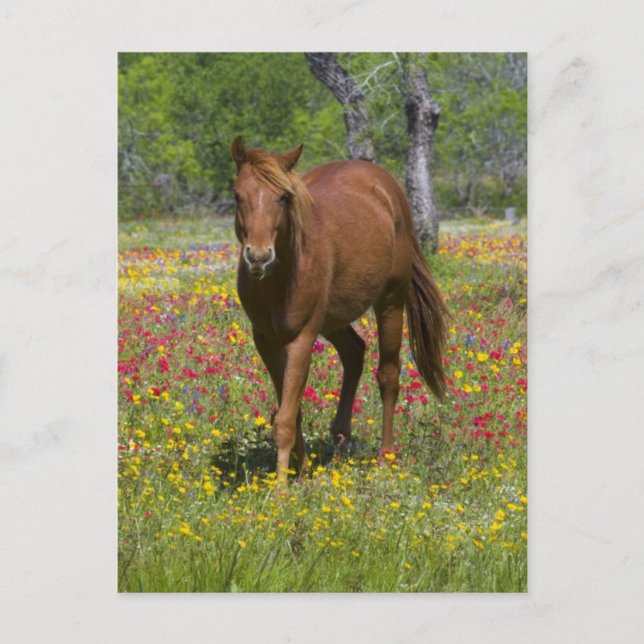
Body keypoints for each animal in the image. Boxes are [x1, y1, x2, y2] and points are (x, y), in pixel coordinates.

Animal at [230, 136, 448, 481]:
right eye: (238, 195)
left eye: (283, 197)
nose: (259, 257)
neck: (280, 277)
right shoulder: (265, 341)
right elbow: (292, 410)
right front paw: (302, 470)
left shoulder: (301, 339)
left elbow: (285, 420)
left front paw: (281, 487)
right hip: (333, 320)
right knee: (354, 352)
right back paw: (341, 433)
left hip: (390, 303)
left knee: (388, 376)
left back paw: (385, 457)